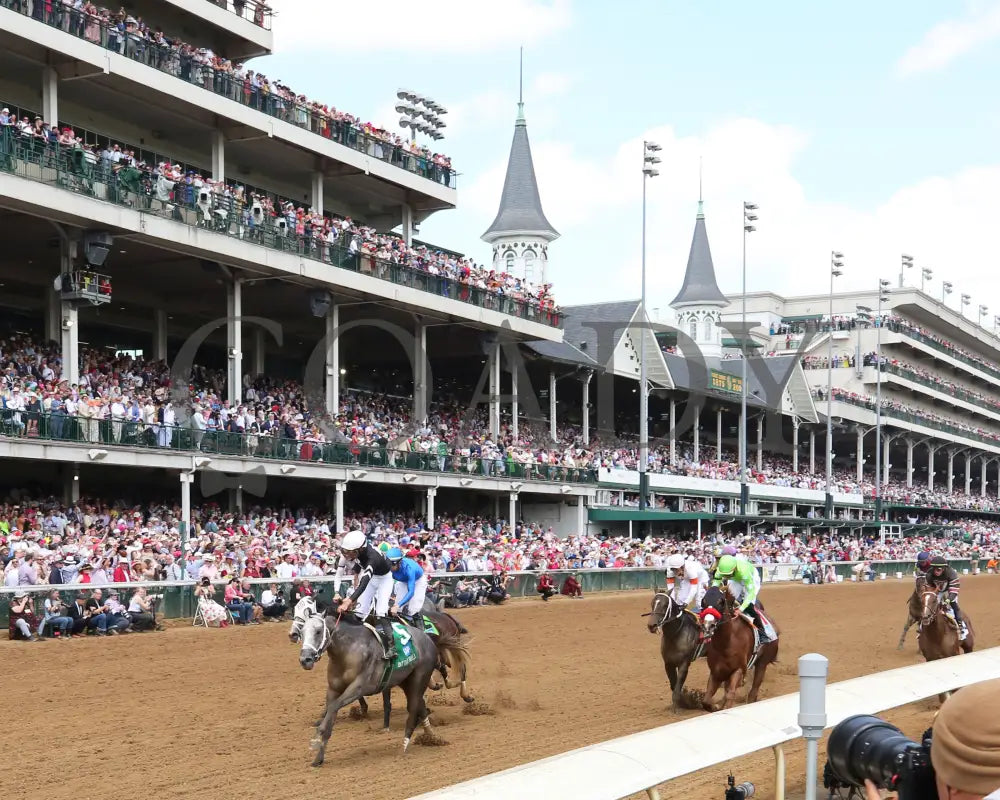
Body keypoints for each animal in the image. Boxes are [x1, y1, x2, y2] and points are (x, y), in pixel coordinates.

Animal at [296, 612, 438, 768]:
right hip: (406, 681)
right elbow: (330, 714)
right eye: (301, 632)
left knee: (413, 709)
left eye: (318, 631)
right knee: (421, 707)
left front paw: (315, 739)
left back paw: (404, 746)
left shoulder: (359, 688)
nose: (305, 660)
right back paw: (431, 736)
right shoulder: (333, 690)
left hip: (420, 677)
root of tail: (426, 637)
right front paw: (318, 758)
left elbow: (333, 707)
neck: (348, 650)